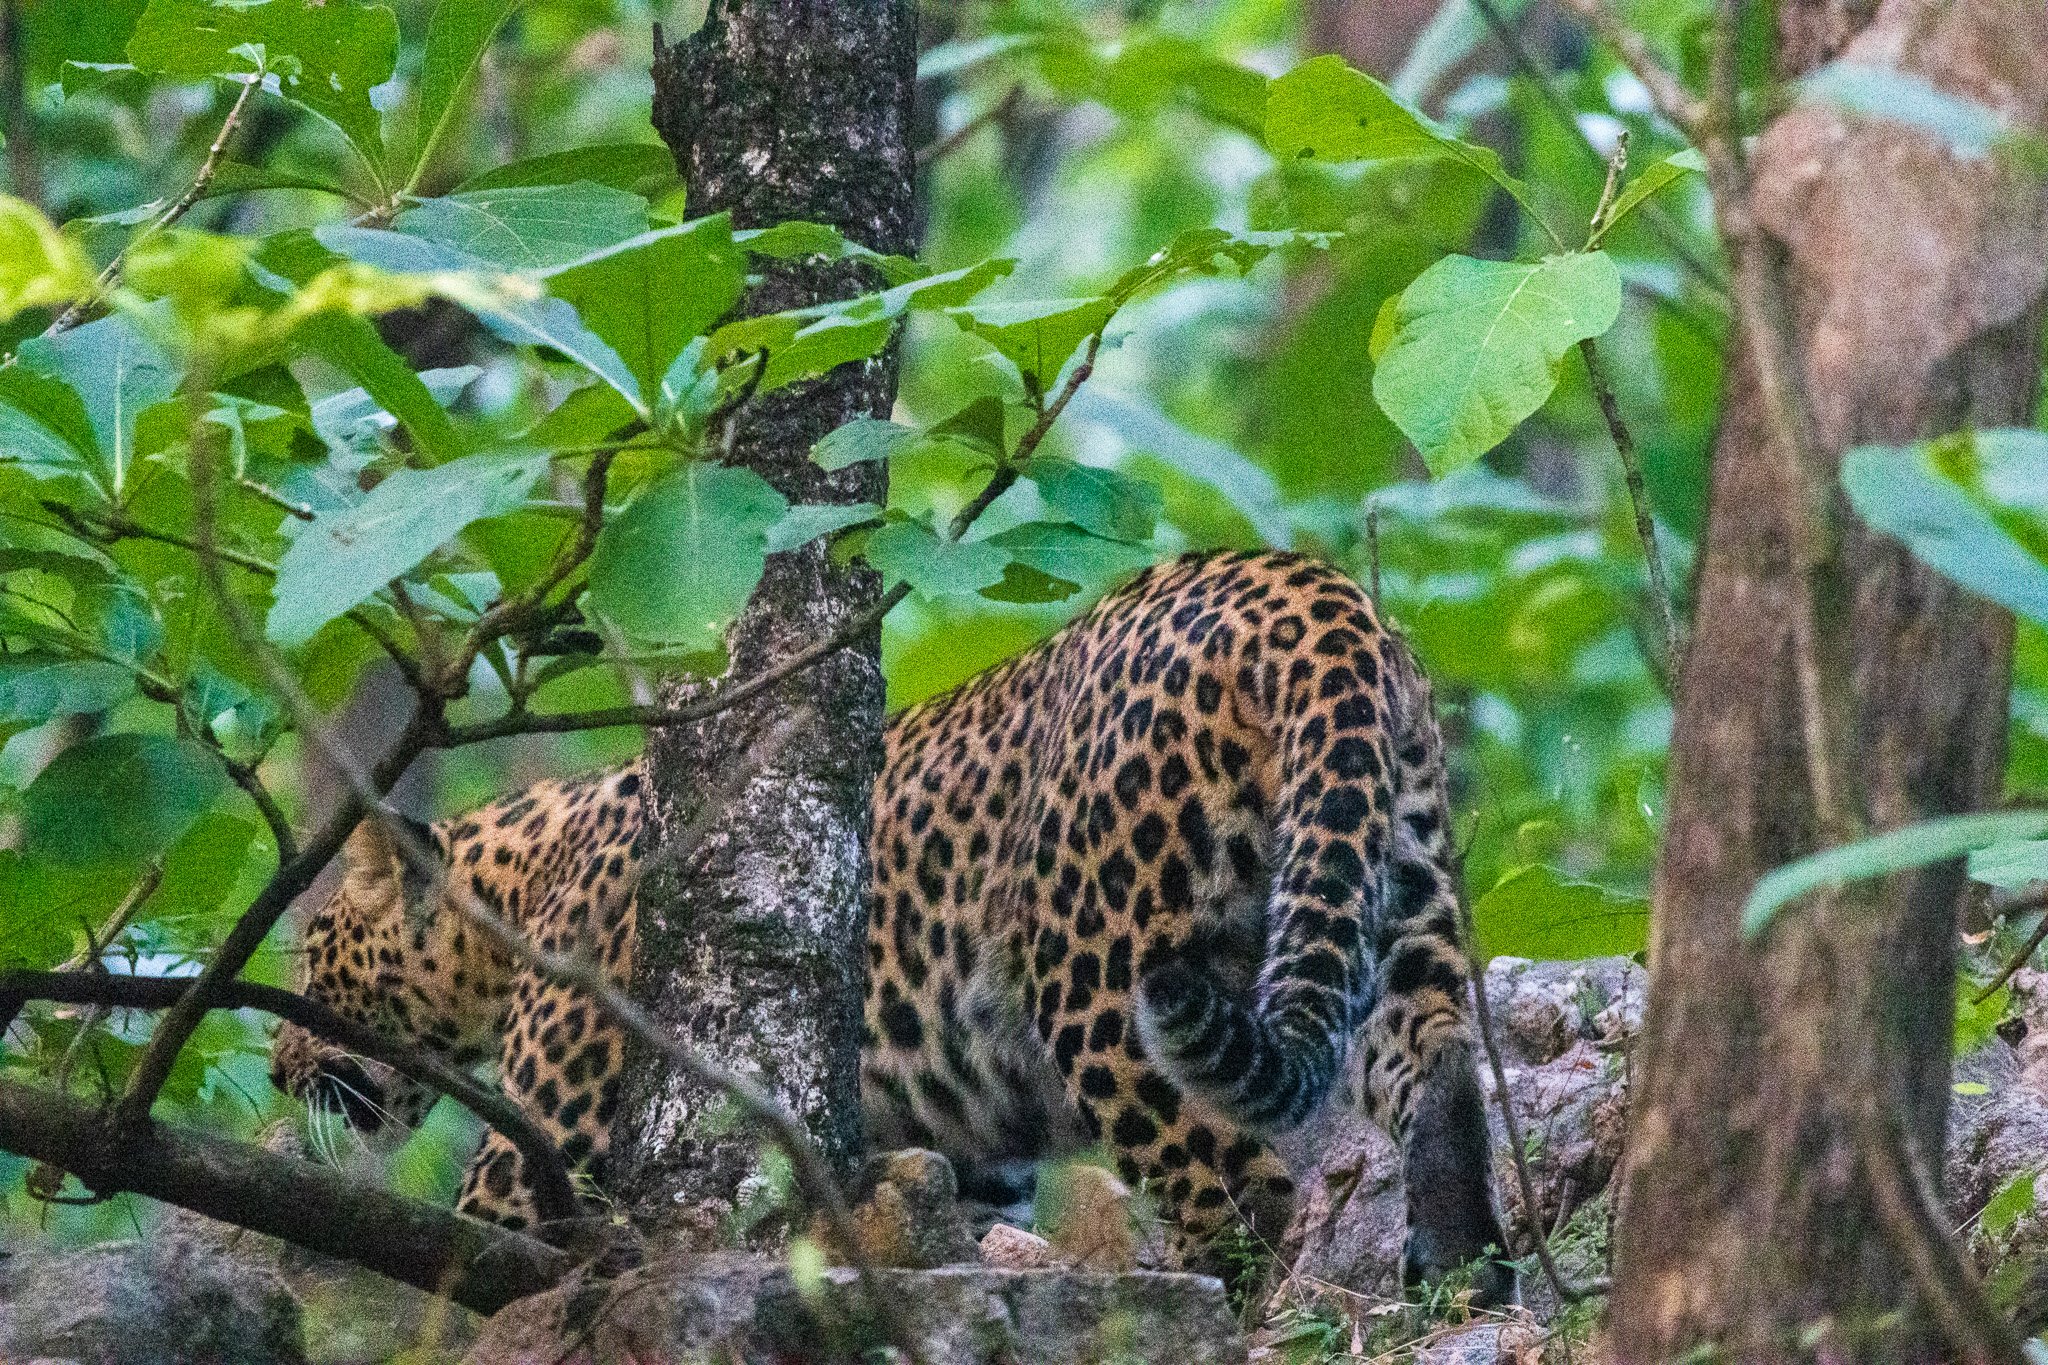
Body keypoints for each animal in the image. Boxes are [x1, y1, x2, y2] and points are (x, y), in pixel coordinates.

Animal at [272, 552, 1515, 1301]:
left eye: (316, 963)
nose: (279, 1070)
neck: (521, 889)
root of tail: (1297, 582)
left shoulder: (547, 1141)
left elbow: (475, 1254)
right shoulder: (969, 1153)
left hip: (1106, 986)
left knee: (1241, 1193)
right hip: (1391, 890)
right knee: (1439, 1066)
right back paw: (1462, 1278)